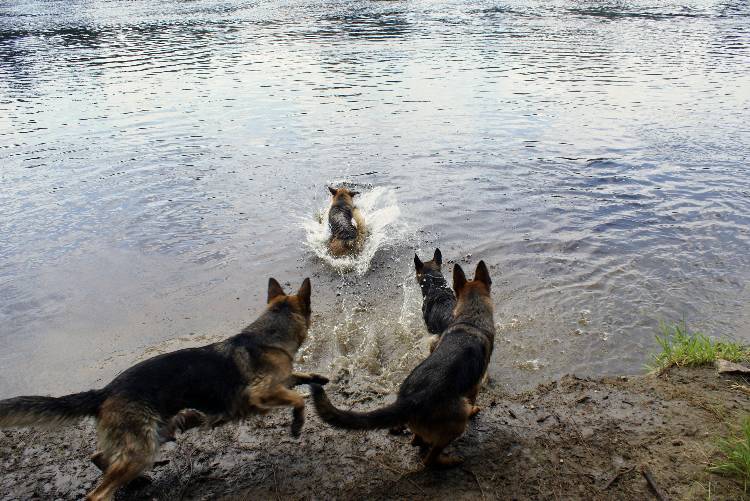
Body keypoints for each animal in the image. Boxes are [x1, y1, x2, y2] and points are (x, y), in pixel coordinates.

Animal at [0, 278, 328, 500]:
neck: (269, 335)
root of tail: (105, 391)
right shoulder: (260, 393)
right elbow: (296, 398)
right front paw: (297, 424)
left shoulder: (280, 381)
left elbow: (299, 377)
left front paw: (318, 378)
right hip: (142, 450)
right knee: (96, 494)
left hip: (147, 438)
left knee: (98, 456)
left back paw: (133, 482)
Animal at [308, 260, 496, 466]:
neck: (471, 320)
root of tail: (411, 400)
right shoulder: (474, 388)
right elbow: (473, 398)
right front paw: (474, 410)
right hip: (457, 422)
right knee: (429, 459)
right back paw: (449, 460)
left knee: (416, 441)